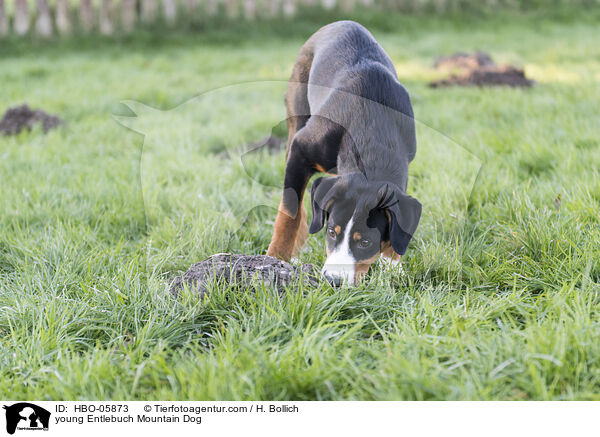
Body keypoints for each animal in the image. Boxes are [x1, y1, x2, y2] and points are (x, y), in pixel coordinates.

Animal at [268, 21, 422, 286]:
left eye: (365, 242)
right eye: (332, 232)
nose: (333, 280)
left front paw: (391, 266)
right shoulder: (300, 149)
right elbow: (289, 213)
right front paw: (275, 258)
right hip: (296, 117)